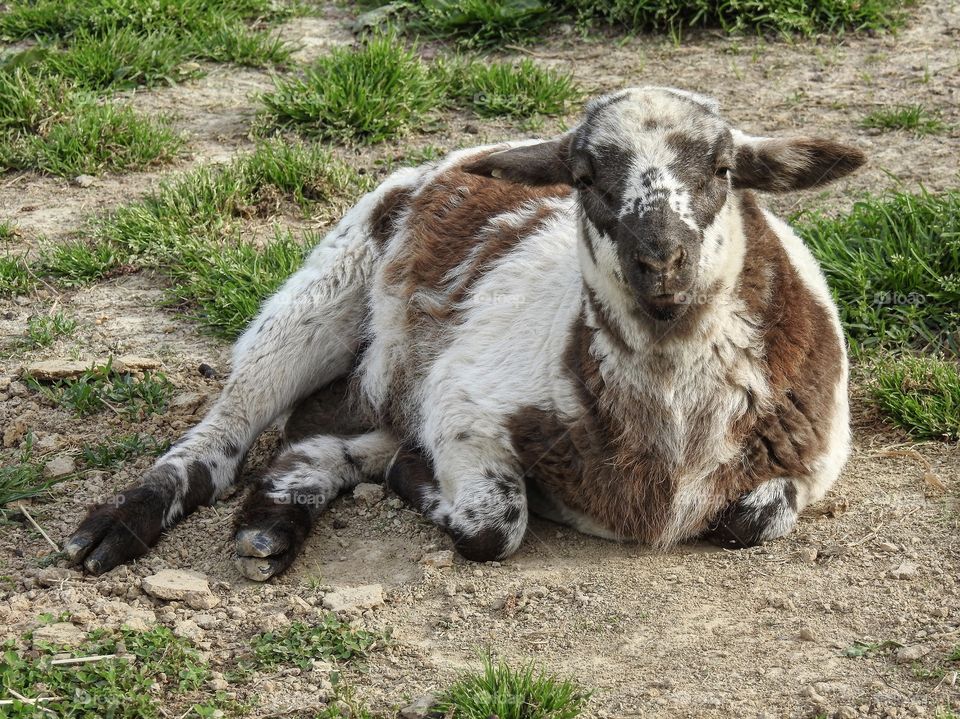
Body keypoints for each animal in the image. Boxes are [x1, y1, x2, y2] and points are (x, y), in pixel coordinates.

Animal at [63, 87, 865, 581]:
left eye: (723, 169)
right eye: (583, 176)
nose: (660, 259)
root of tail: (454, 156)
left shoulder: (815, 459)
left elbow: (752, 519)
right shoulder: (463, 406)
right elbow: (493, 525)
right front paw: (421, 482)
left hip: (384, 369)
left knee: (315, 435)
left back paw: (269, 529)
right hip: (325, 287)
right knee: (228, 428)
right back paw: (116, 527)